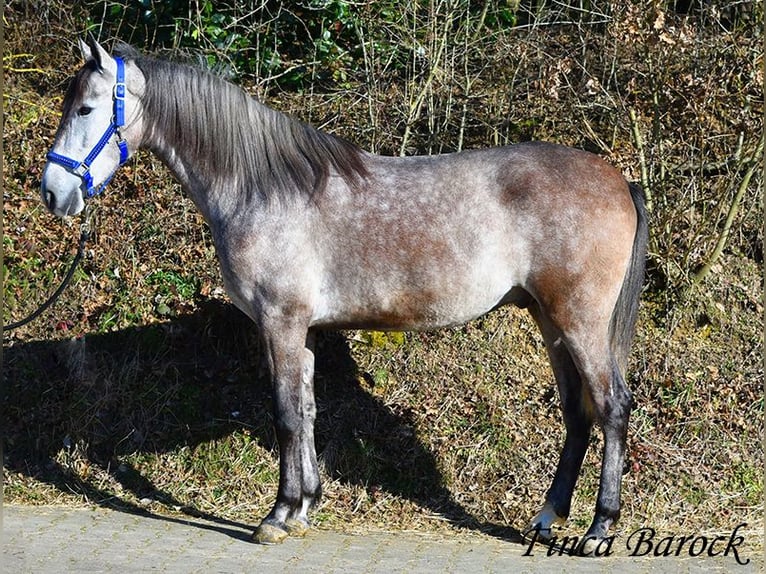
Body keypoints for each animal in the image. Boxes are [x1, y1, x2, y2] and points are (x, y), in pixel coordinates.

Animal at [37, 37, 648, 560]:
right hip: (550, 320)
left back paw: (599, 528)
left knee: (612, 406)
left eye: (87, 109)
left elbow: (285, 415)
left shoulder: (280, 323)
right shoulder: (302, 332)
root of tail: (620, 181)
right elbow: (307, 411)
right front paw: (304, 508)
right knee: (577, 412)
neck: (262, 188)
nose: (52, 192)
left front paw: (276, 515)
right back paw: (548, 518)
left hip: (579, 321)